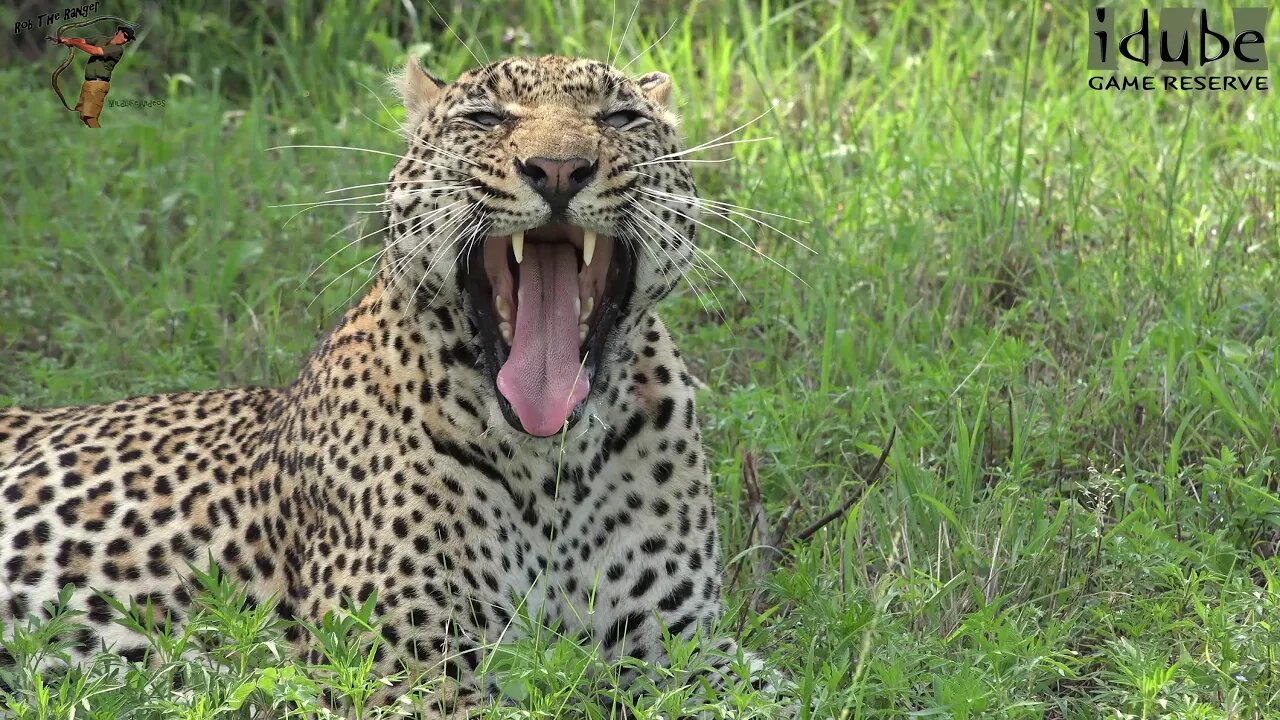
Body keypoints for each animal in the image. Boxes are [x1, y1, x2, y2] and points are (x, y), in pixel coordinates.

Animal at [0, 56, 778, 712]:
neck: (553, 462)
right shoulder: (404, 670)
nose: (558, 170)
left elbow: (782, 691)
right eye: (484, 118)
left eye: (620, 118)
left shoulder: (685, 645)